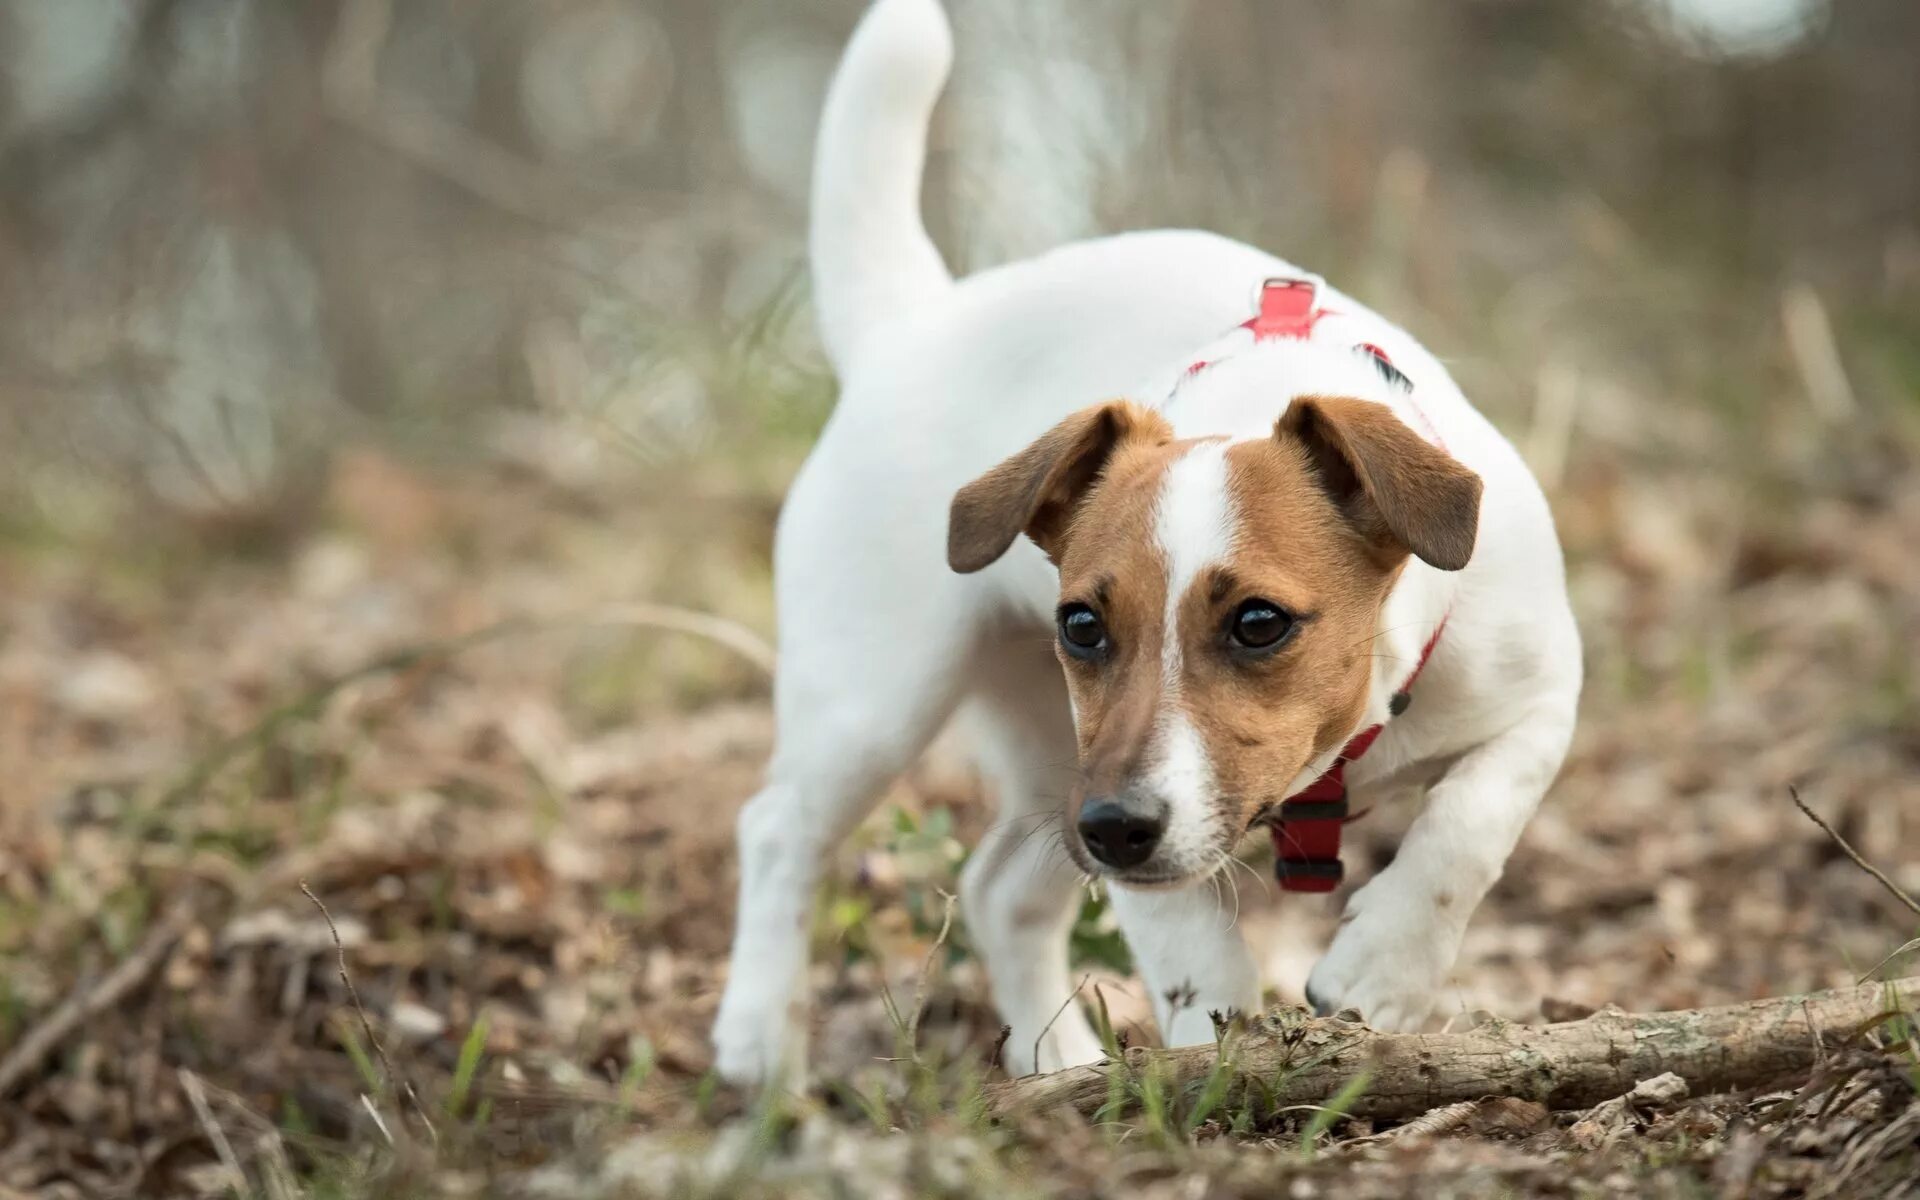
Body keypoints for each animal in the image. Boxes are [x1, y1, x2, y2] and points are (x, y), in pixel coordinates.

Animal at [714, 0, 1582, 1082]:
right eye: (1083, 626)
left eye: (1259, 623)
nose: (1117, 829)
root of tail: (910, 327)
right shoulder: (1108, 787)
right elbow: (1176, 928)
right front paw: (1213, 1027)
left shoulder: (1540, 702)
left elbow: (1471, 823)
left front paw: (1384, 968)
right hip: (880, 702)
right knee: (777, 832)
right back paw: (755, 1041)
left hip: (1038, 746)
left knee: (999, 889)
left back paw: (1055, 1061)